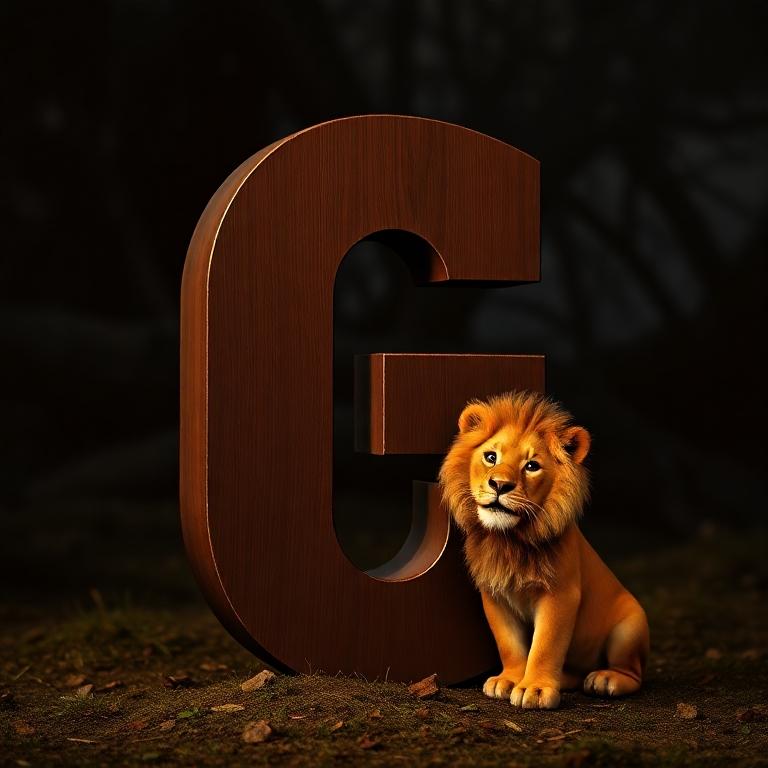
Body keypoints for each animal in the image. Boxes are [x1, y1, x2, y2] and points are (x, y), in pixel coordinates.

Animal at [438, 390, 649, 710]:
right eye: (491, 457)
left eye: (531, 466)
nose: (499, 484)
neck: (509, 540)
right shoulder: (494, 594)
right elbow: (509, 644)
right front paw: (509, 680)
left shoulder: (560, 594)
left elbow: (545, 646)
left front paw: (535, 689)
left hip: (630, 628)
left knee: (633, 673)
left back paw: (605, 679)